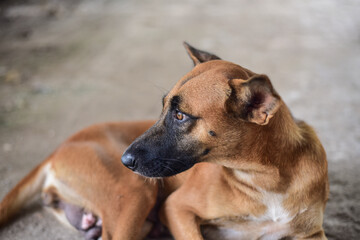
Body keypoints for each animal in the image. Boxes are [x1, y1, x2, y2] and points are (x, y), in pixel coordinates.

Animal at [123, 42, 330, 239]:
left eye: (180, 115)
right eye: (164, 107)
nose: (125, 161)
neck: (266, 178)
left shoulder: (310, 232)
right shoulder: (177, 208)